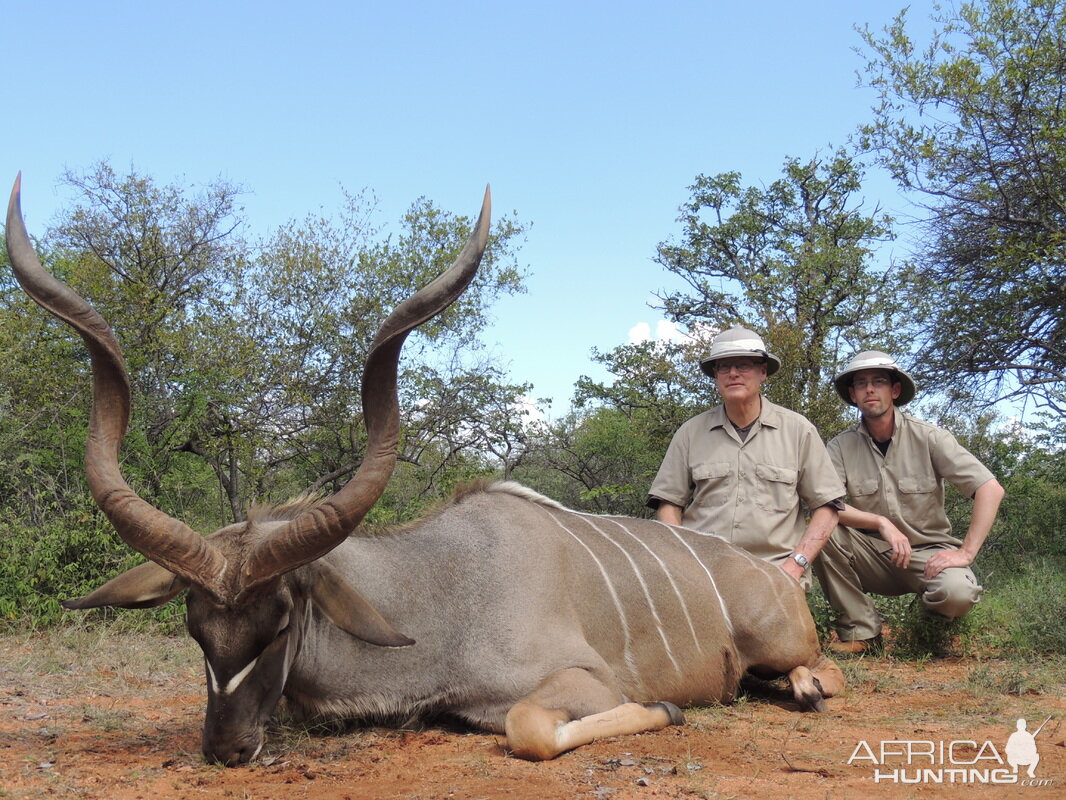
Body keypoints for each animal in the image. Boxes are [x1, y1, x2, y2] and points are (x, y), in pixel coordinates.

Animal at [6, 173, 840, 763]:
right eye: (194, 628)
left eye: (280, 623)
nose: (227, 749)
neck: (439, 595)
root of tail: (772, 575)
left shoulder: (581, 682)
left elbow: (530, 727)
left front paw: (667, 708)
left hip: (784, 643)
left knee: (818, 673)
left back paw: (798, 685)